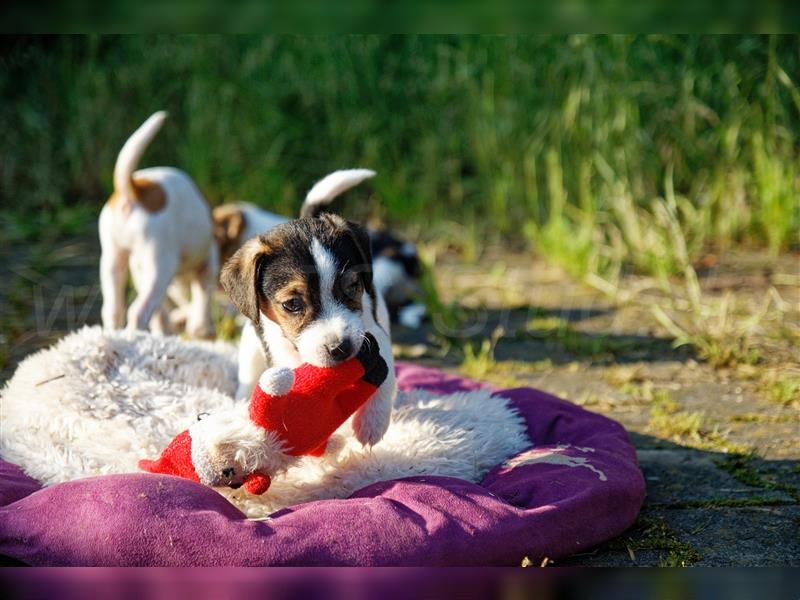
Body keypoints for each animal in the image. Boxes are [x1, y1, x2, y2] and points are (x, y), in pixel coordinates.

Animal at [99, 111, 219, 338]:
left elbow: (161, 310)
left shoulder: (141, 272)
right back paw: (133, 336)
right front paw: (200, 329)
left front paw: (166, 330)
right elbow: (202, 297)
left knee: (112, 309)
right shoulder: (208, 265)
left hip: (113, 259)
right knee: (138, 311)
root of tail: (135, 190)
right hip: (160, 264)